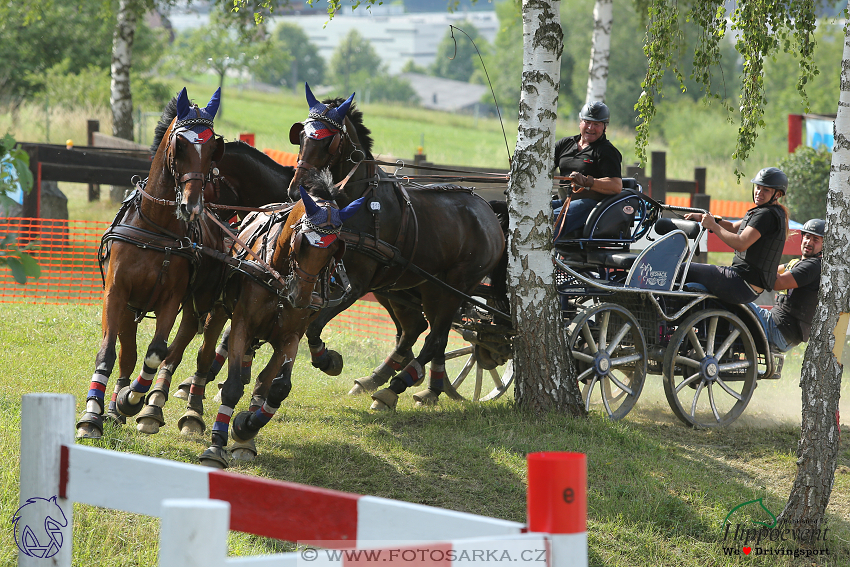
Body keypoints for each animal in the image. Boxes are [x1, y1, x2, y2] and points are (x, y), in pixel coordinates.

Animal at [75, 87, 229, 440]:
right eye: (180, 144)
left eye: (212, 149)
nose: (192, 205)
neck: (155, 229)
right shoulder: (117, 294)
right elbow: (111, 352)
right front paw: (95, 413)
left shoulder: (171, 299)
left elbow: (157, 351)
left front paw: (132, 398)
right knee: (133, 352)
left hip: (208, 303)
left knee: (195, 350)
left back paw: (179, 410)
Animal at [199, 166, 364, 468]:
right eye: (302, 244)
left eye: (335, 249)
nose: (300, 297)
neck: (279, 279)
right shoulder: (242, 325)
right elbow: (233, 386)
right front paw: (217, 445)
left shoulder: (289, 336)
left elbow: (276, 387)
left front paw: (245, 426)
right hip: (218, 313)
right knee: (205, 356)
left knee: (261, 381)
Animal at [288, 84, 506, 410]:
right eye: (301, 135)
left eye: (328, 140)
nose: (296, 189)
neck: (357, 202)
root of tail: (490, 213)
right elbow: (302, 321)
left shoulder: (356, 285)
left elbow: (314, 326)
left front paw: (327, 360)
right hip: (420, 286)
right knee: (420, 330)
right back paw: (414, 385)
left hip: (457, 286)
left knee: (435, 337)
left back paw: (395, 387)